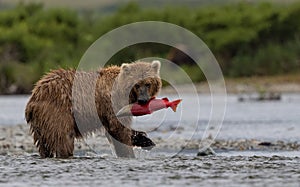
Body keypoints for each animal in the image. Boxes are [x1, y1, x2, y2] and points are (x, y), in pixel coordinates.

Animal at [25, 60, 162, 159]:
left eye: (148, 83)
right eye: (137, 85)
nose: (143, 100)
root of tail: (34, 96)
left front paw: (145, 140)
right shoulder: (112, 103)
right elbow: (118, 128)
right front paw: (129, 152)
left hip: (40, 124)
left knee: (44, 145)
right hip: (58, 112)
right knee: (63, 138)